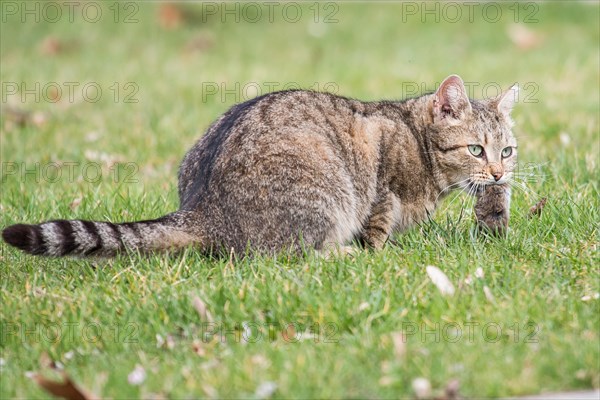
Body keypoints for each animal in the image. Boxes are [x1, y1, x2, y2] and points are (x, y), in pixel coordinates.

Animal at [0, 74, 516, 256]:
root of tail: (201, 209)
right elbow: (377, 224)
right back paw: (343, 255)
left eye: (506, 152)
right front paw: (377, 251)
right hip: (324, 193)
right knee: (288, 255)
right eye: (476, 150)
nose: (498, 174)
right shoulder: (380, 175)